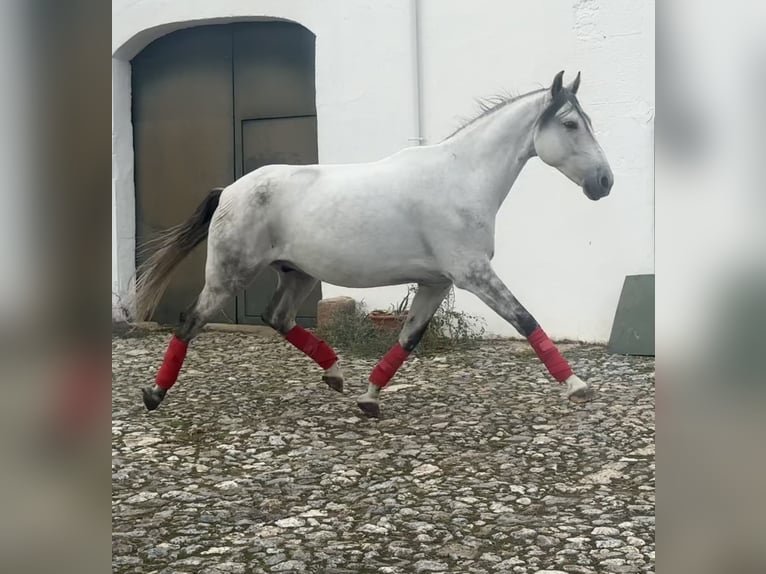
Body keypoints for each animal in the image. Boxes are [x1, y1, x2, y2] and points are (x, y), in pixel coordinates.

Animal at [135, 74, 616, 420]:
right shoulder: (472, 273)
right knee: (190, 321)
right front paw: (577, 387)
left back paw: (335, 375)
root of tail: (229, 190)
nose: (605, 182)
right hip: (230, 274)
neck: (461, 178)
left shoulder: (437, 282)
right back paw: (154, 394)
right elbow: (524, 318)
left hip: (297, 273)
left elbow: (409, 337)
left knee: (278, 317)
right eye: (571, 124)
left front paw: (369, 398)